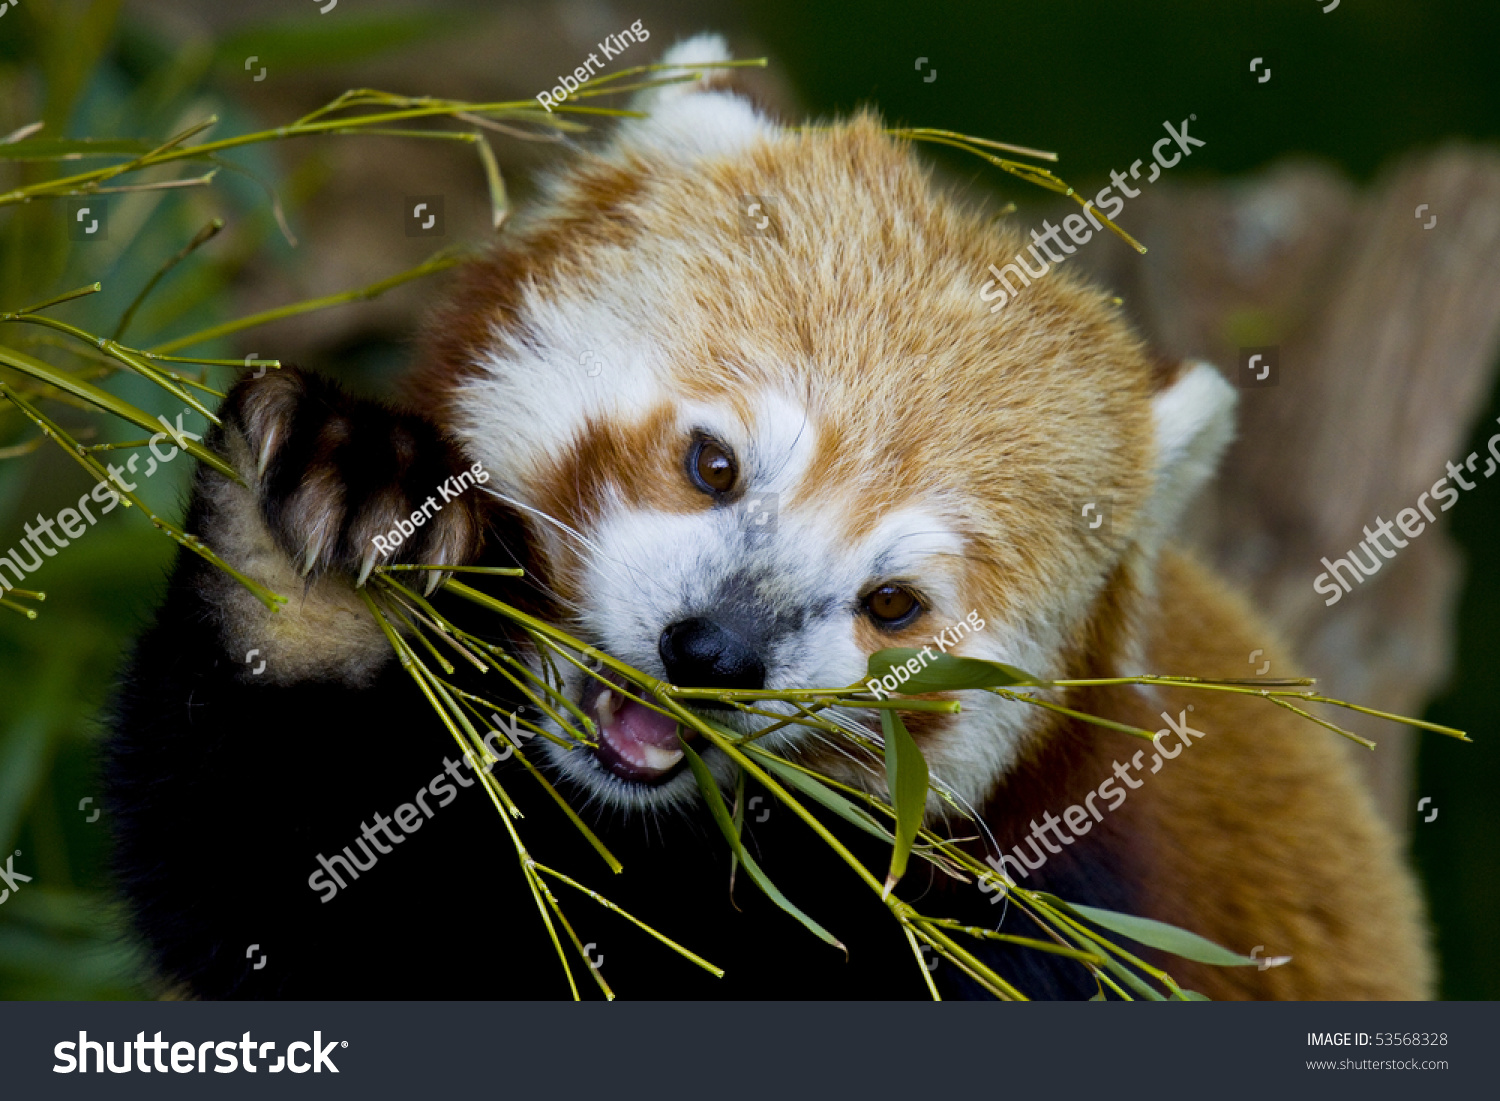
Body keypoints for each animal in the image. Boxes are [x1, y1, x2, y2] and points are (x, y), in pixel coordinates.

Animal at [105, 32, 1428, 1002]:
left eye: (894, 604)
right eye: (713, 464)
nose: (714, 652)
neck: (640, 827)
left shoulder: (1048, 912)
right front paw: (326, 545)